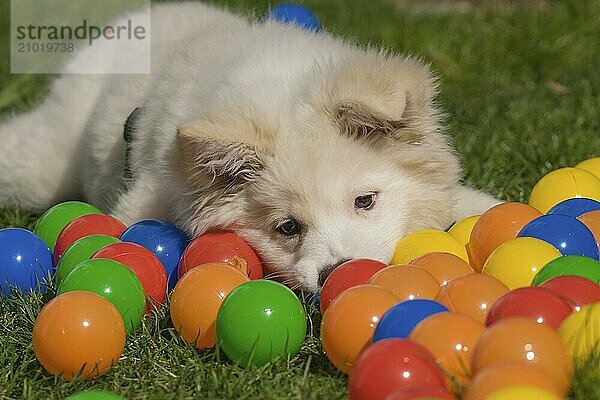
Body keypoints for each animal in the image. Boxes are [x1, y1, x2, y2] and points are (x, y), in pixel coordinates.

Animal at [0, 2, 496, 290]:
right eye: (287, 227)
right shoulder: (142, 201)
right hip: (47, 162)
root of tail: (135, 19)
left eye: (365, 201)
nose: (336, 273)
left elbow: (476, 203)